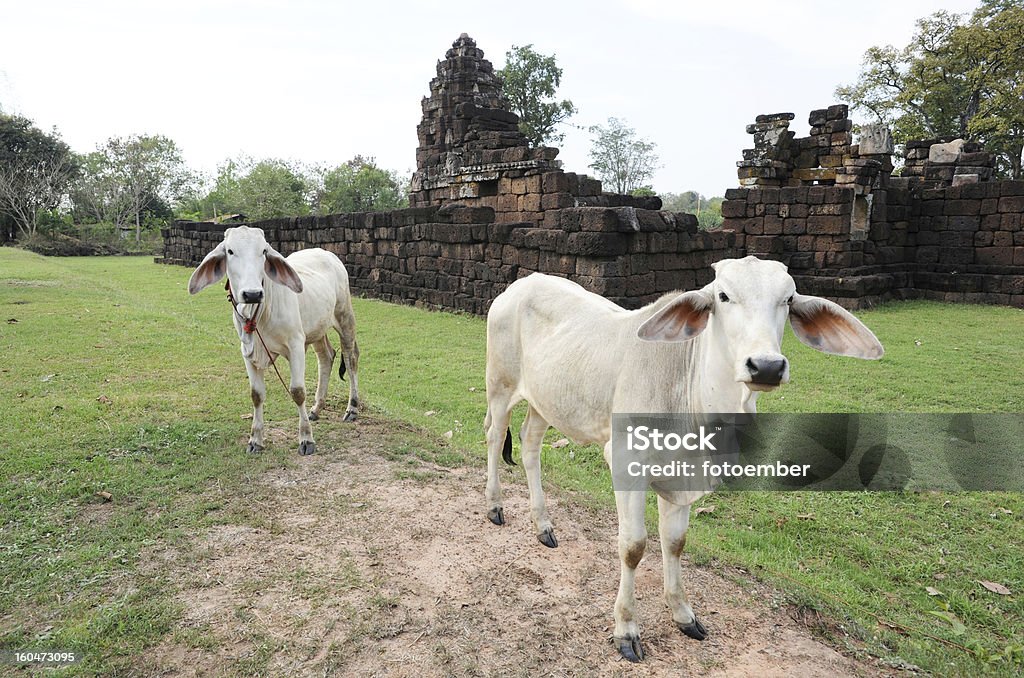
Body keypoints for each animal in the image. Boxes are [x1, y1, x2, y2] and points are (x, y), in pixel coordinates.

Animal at [190, 227, 362, 456]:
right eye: (230, 251)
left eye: (264, 251)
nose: (252, 293)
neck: (259, 314)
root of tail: (327, 254)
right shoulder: (247, 352)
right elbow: (256, 394)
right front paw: (255, 440)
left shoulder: (296, 345)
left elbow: (297, 392)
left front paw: (306, 439)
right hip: (316, 329)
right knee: (326, 357)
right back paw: (316, 408)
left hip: (345, 318)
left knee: (351, 359)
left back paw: (352, 408)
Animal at [483, 258, 884, 659]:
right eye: (723, 296)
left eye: (787, 299)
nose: (767, 366)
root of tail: (519, 287)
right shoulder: (626, 463)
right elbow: (633, 546)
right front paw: (626, 628)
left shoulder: (682, 476)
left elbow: (675, 542)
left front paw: (682, 613)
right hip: (500, 387)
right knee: (494, 437)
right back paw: (495, 506)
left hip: (545, 402)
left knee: (530, 444)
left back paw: (543, 526)